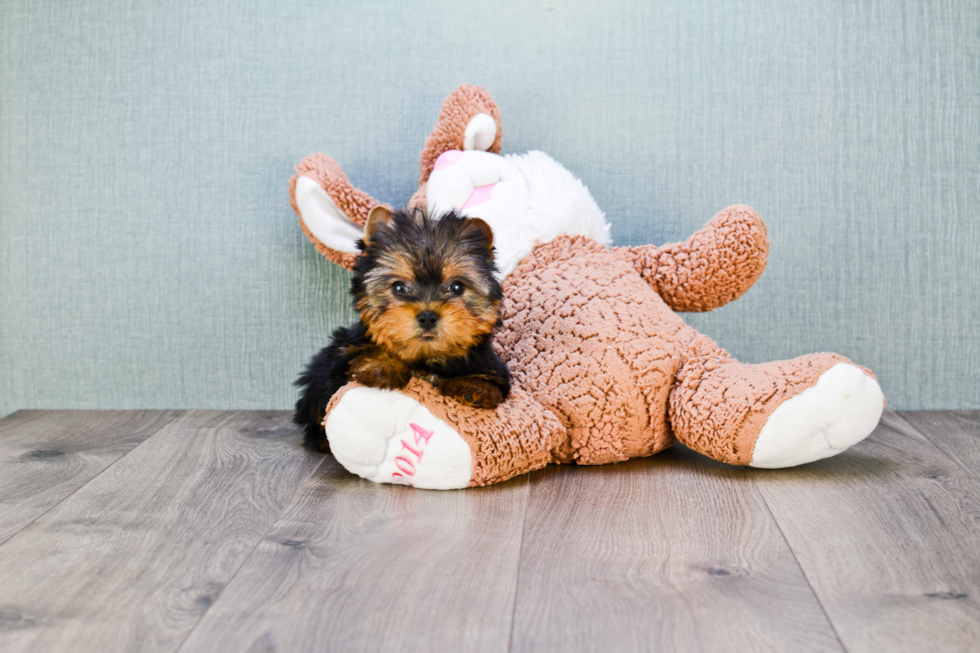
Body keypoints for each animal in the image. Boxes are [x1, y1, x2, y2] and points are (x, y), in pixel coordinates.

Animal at [292, 206, 510, 450]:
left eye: (456, 287)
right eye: (399, 287)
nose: (427, 317)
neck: (424, 357)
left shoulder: (490, 365)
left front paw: (477, 387)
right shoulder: (339, 360)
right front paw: (383, 364)